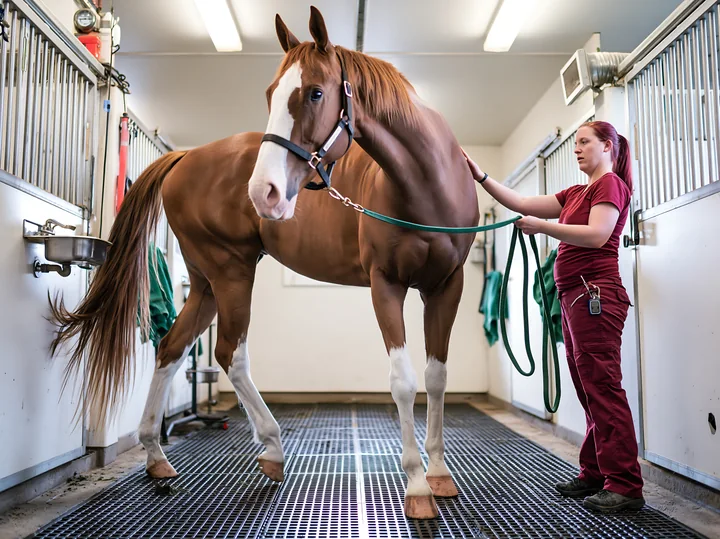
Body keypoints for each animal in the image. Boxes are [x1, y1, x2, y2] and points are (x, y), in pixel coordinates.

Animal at [50, 6, 481, 520]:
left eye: (315, 92)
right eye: (271, 94)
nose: (264, 192)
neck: (426, 185)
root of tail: (185, 156)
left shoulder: (446, 286)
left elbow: (437, 377)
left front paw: (439, 473)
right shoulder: (386, 285)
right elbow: (403, 381)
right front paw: (415, 485)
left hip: (206, 283)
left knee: (172, 347)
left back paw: (156, 456)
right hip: (232, 272)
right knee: (229, 355)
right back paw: (272, 448)